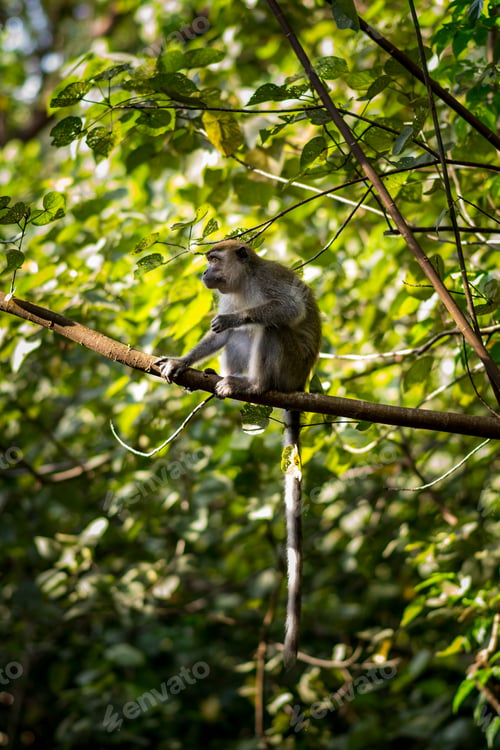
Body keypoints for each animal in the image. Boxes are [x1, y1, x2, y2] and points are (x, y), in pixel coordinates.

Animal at [155, 239, 322, 665]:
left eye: (214, 259)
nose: (204, 273)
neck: (245, 282)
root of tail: (299, 385)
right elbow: (217, 338)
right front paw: (181, 361)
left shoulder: (269, 282)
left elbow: (286, 309)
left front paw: (237, 318)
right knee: (239, 341)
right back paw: (227, 378)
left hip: (288, 367)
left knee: (268, 327)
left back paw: (253, 384)